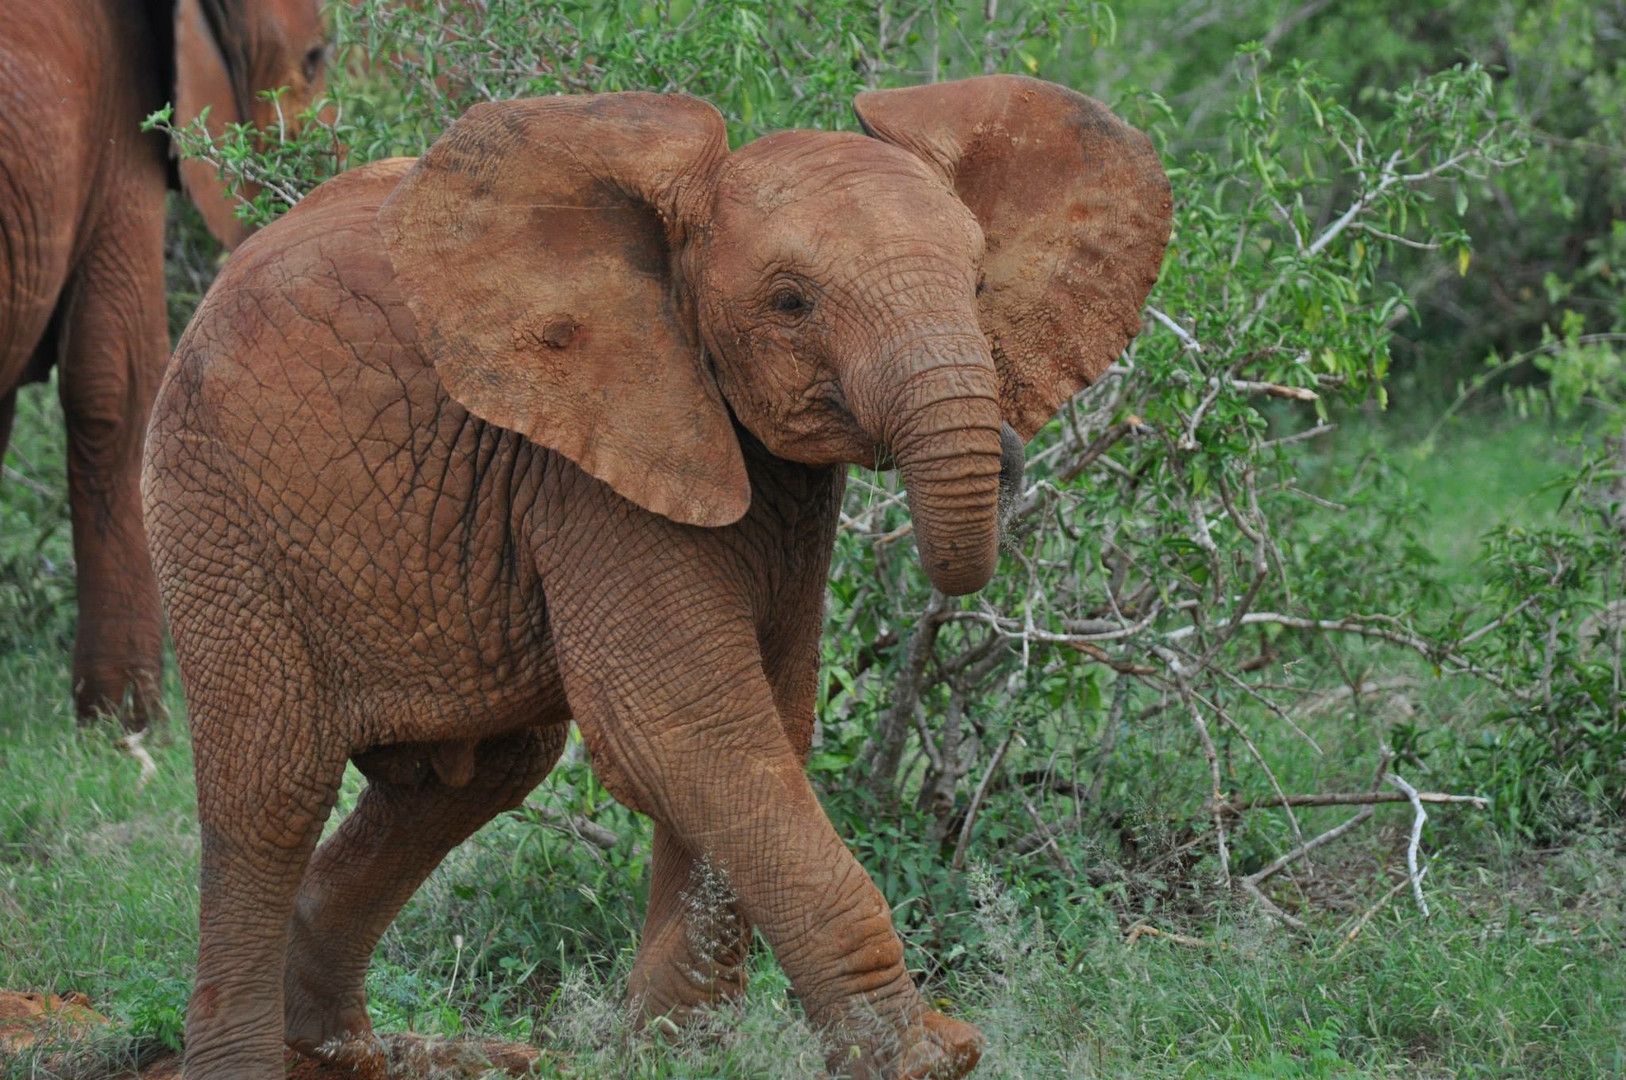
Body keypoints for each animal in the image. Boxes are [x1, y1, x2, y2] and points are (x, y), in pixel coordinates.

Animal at [146, 78, 1170, 1080]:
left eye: (979, 283)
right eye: (790, 303)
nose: (1006, 452)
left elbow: (766, 725)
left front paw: (675, 1052)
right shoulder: (587, 463)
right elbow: (687, 730)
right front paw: (928, 1056)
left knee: (464, 781)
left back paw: (386, 1055)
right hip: (219, 515)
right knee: (270, 795)